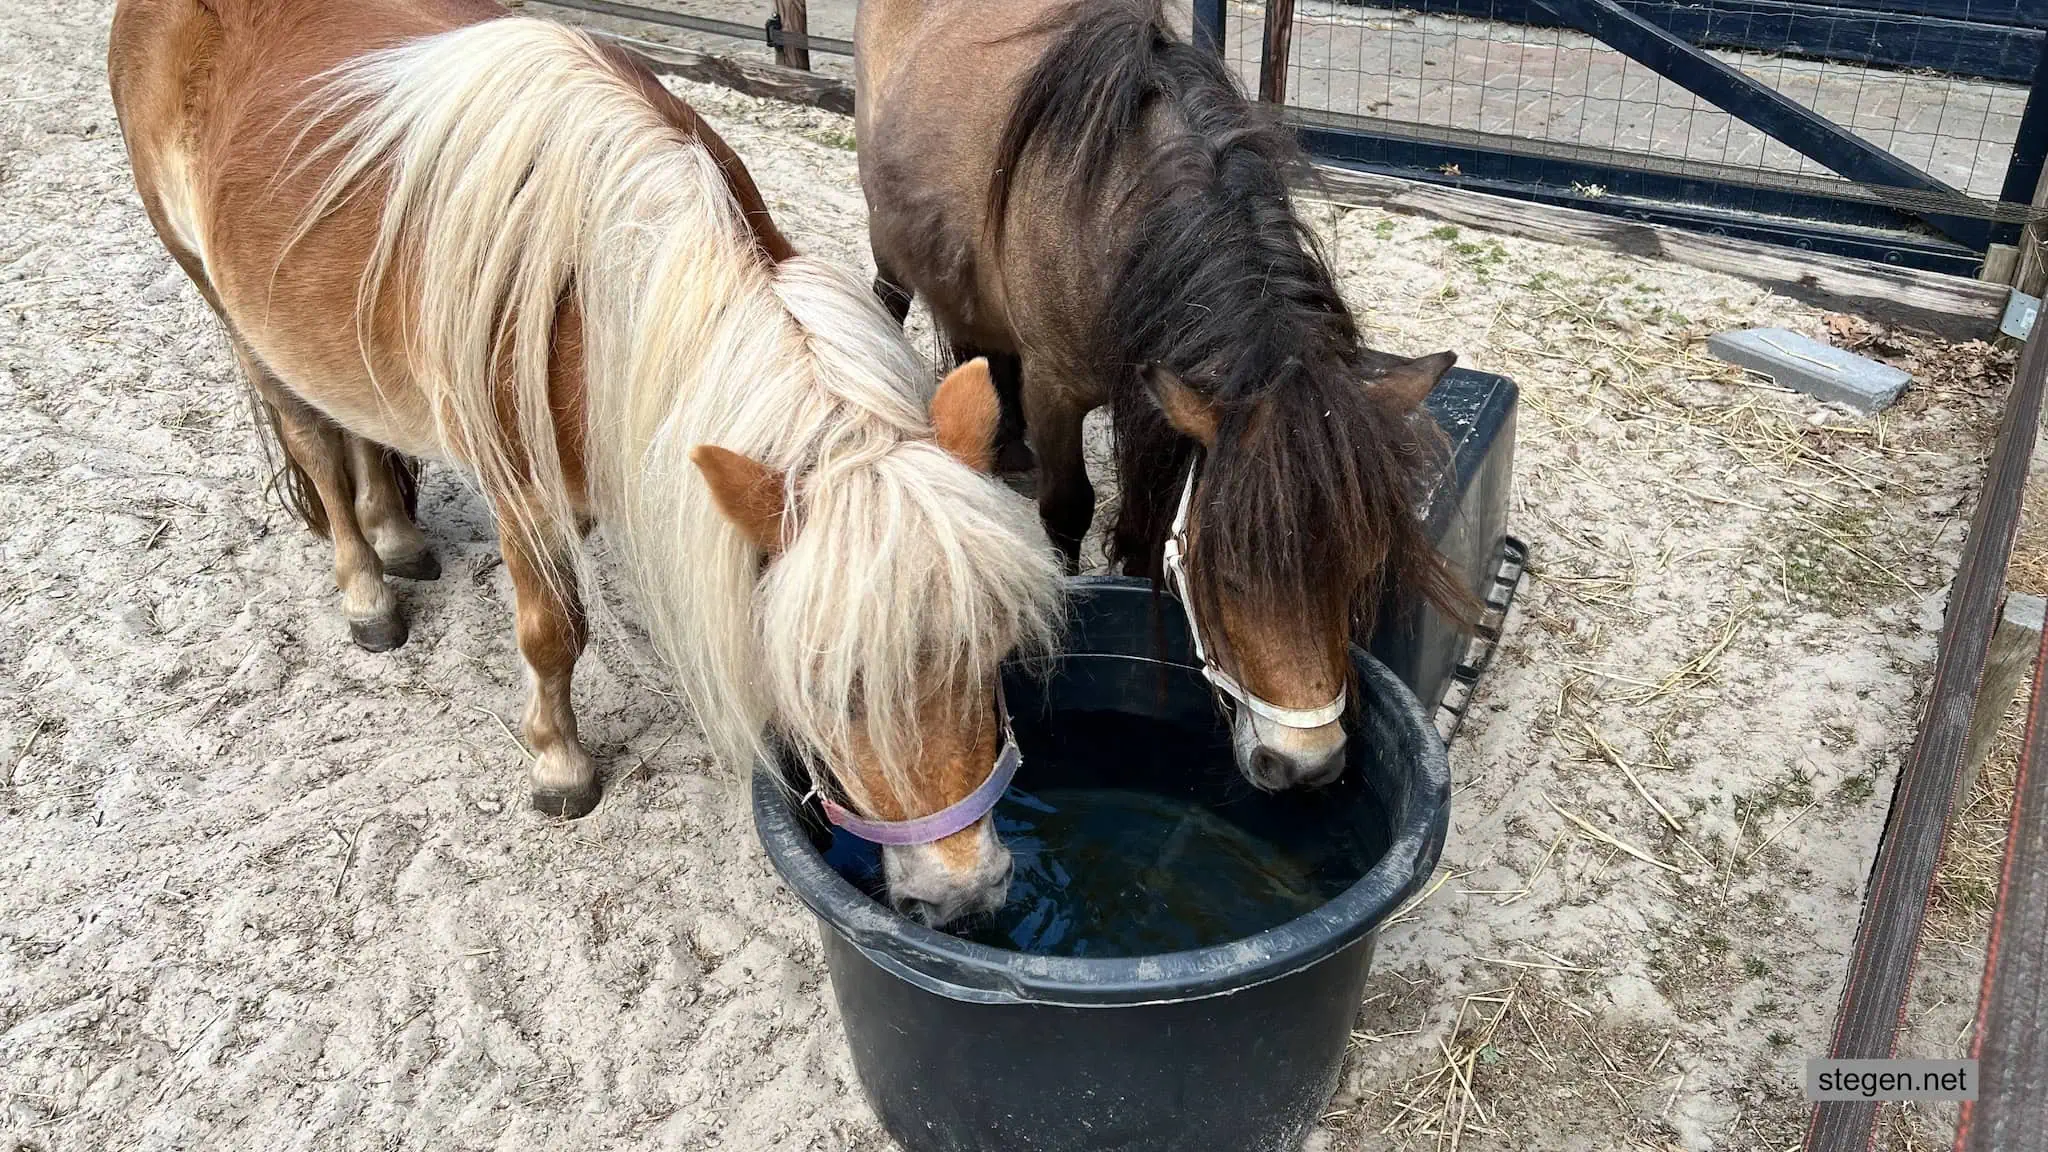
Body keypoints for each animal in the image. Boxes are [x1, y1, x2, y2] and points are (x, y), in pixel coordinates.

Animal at [107, 0, 1064, 926]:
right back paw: (367, 593)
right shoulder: (524, 495)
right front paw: (559, 767)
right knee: (318, 451)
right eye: (832, 681)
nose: (966, 895)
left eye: (993, 651)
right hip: (231, 312)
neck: (594, 295)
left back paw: (400, 539)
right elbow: (552, 633)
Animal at [855, 0, 1470, 792]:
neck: (1114, 206)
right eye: (1228, 576)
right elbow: (1069, 508)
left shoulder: (1150, 393)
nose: (1307, 766)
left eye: (1359, 567)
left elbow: (1147, 522)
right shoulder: (1058, 388)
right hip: (887, 239)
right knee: (892, 300)